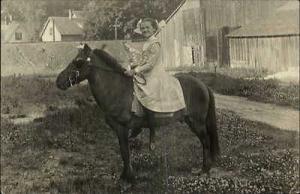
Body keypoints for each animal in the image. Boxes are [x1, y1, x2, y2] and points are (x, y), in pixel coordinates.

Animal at [56, 43, 220, 184]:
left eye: (78, 62)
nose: (59, 81)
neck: (116, 88)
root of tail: (203, 85)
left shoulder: (122, 128)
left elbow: (125, 152)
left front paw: (128, 177)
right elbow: (124, 152)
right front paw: (125, 175)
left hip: (196, 123)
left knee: (205, 142)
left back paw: (204, 170)